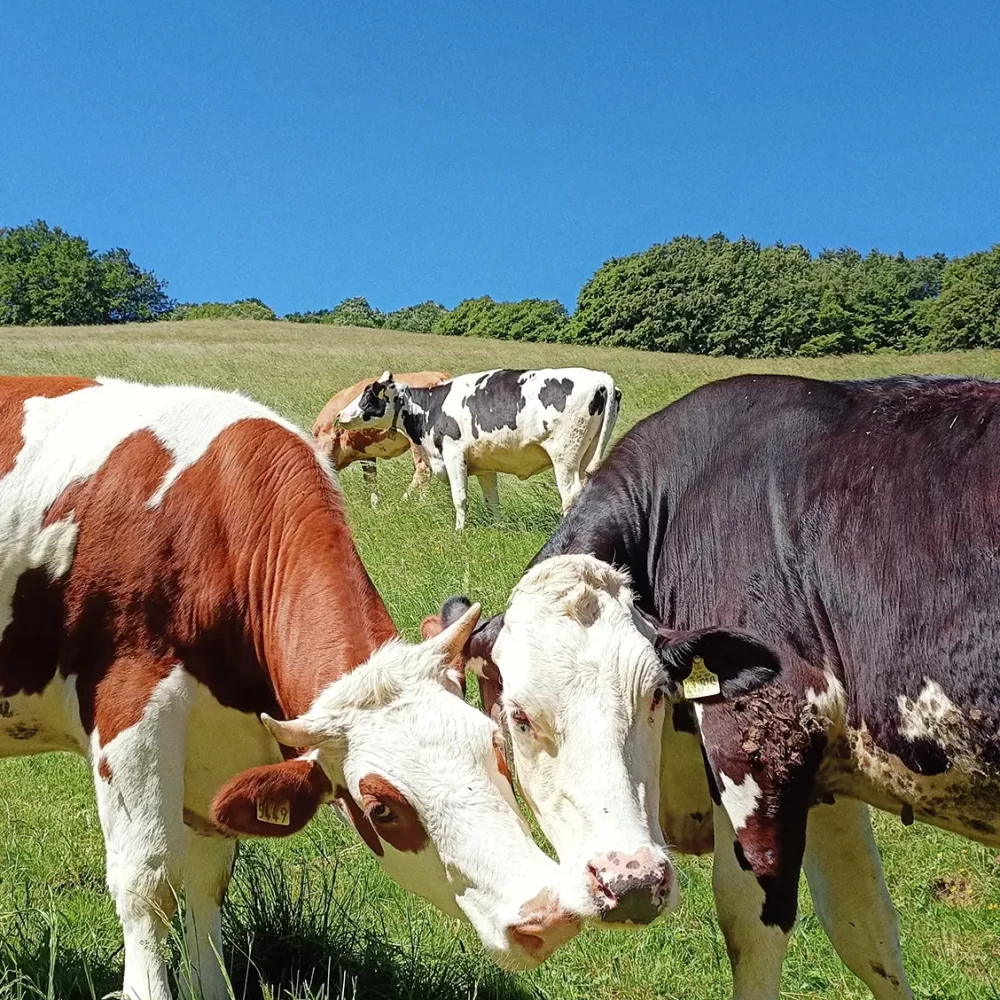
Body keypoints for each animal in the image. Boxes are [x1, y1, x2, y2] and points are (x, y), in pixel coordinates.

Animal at [312, 370, 450, 508]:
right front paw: (375, 507)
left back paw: (411, 502)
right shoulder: (366, 456)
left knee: (422, 470)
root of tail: (437, 375)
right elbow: (370, 479)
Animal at [336, 370, 616, 532]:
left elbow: (460, 498)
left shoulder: (453, 455)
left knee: (570, 496)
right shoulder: (484, 466)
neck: (429, 408)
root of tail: (603, 379)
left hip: (565, 455)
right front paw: (499, 529)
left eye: (368, 396)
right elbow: (493, 501)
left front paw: (459, 533)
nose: (339, 415)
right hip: (587, 455)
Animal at [432, 376, 1000, 1000]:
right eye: (520, 716)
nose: (630, 882)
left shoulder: (759, 739)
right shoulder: (827, 774)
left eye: (656, 694)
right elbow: (866, 931)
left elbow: (751, 923)